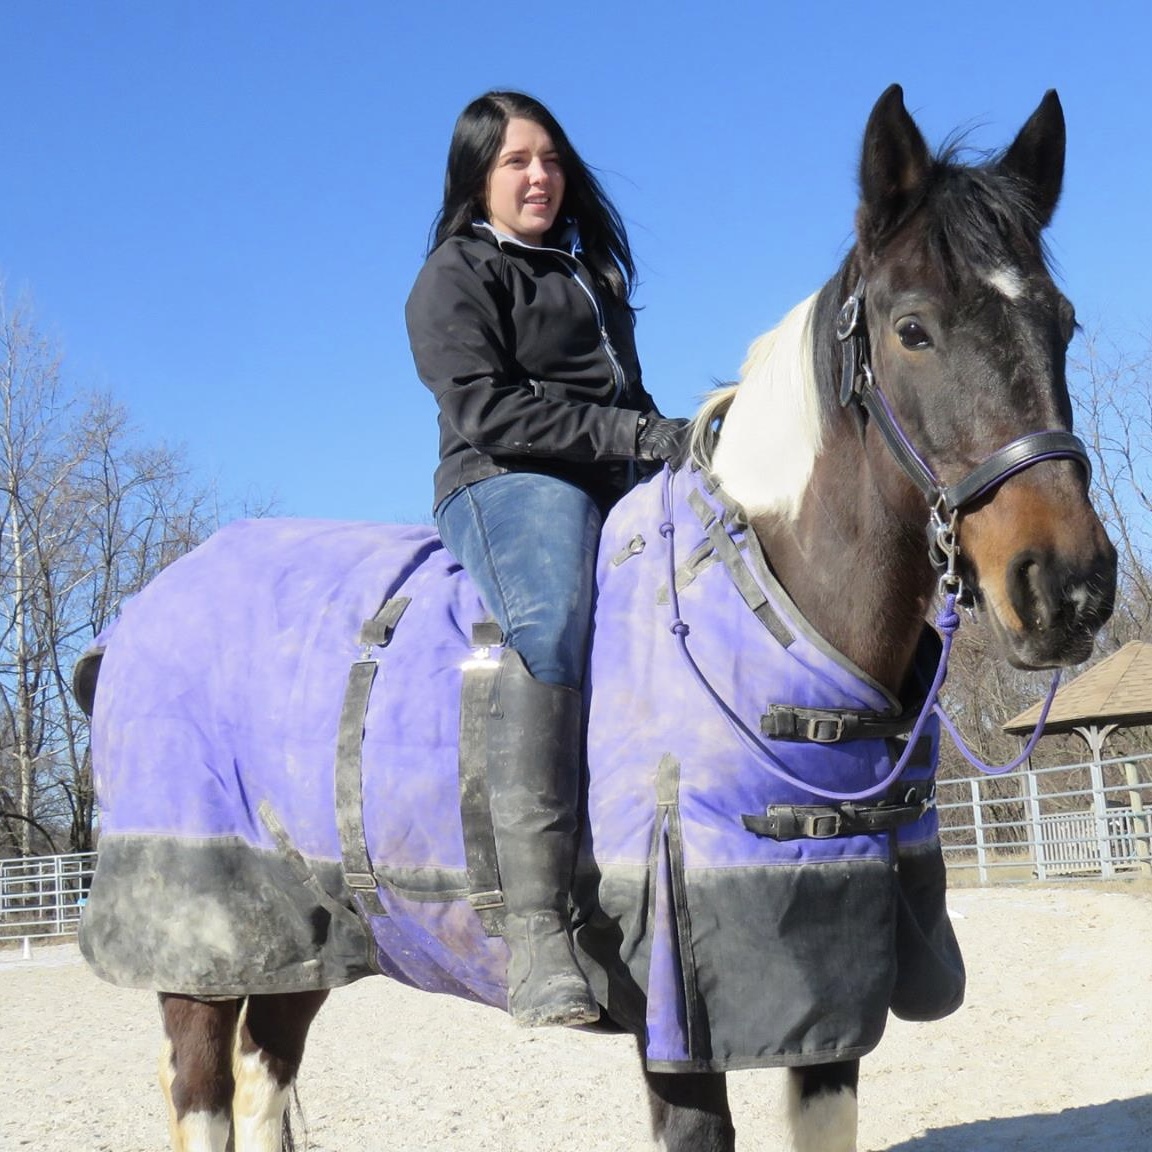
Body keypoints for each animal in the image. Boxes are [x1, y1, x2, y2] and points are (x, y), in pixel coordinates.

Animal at [74, 87, 1115, 1152]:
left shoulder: (831, 994)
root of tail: (139, 616)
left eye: (1063, 324)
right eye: (913, 330)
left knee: (265, 1070)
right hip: (205, 945)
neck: (766, 620)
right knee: (204, 1090)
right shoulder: (680, 1012)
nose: (1067, 587)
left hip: (311, 937)